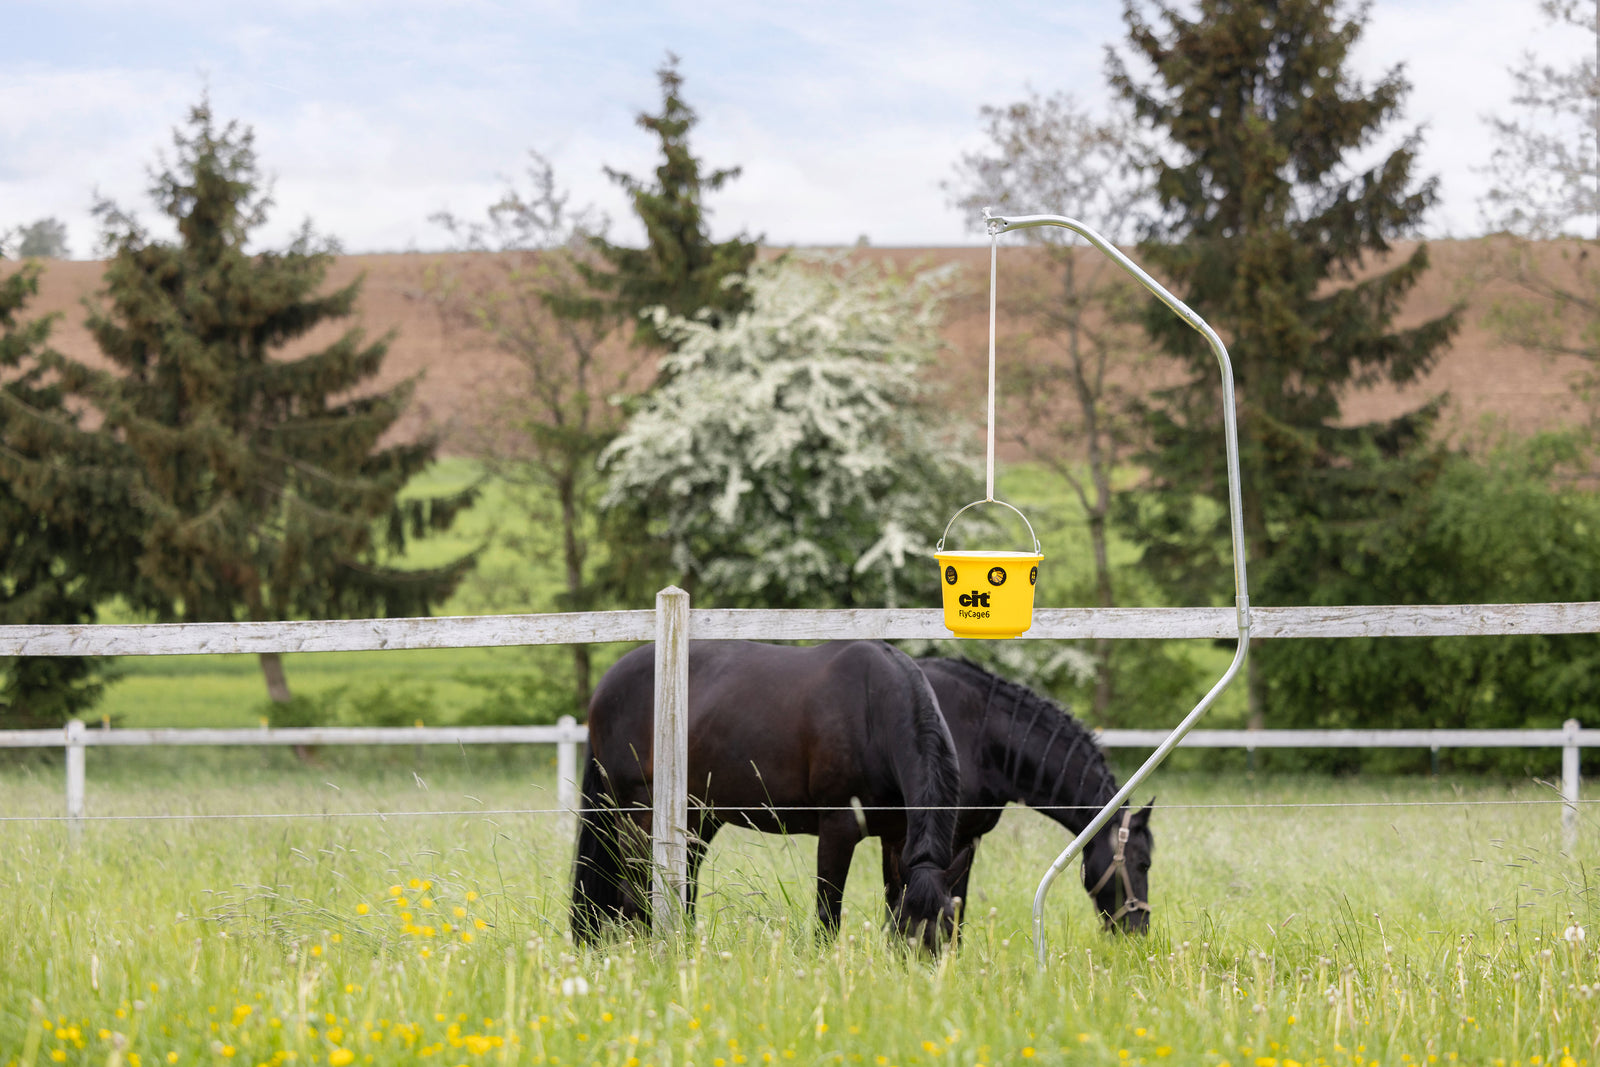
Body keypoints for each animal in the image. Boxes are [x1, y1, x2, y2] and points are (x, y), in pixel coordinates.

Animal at [572, 643, 960, 953]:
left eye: (946, 933)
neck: (872, 709)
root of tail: (606, 685)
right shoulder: (838, 827)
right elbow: (828, 910)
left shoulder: (896, 836)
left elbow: (893, 900)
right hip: (636, 812)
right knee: (633, 893)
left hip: (696, 818)